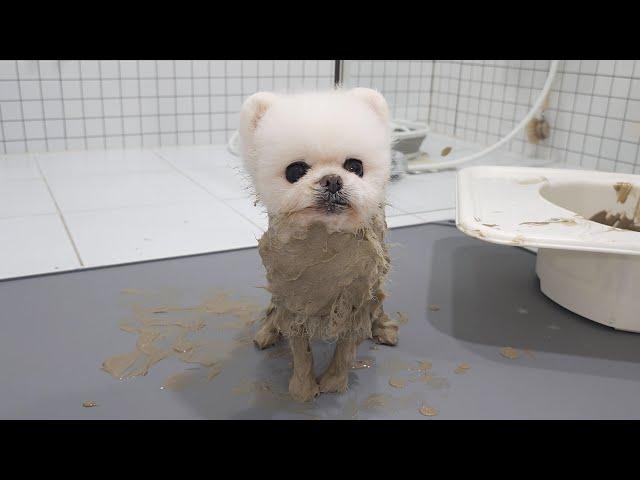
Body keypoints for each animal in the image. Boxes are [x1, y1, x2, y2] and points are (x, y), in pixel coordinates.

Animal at [240, 87, 400, 402]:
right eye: (295, 170)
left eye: (355, 166)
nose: (333, 180)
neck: (324, 240)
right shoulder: (292, 300)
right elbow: (301, 352)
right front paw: (302, 388)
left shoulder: (357, 300)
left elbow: (345, 350)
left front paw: (333, 382)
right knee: (272, 311)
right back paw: (268, 331)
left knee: (379, 308)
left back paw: (384, 328)